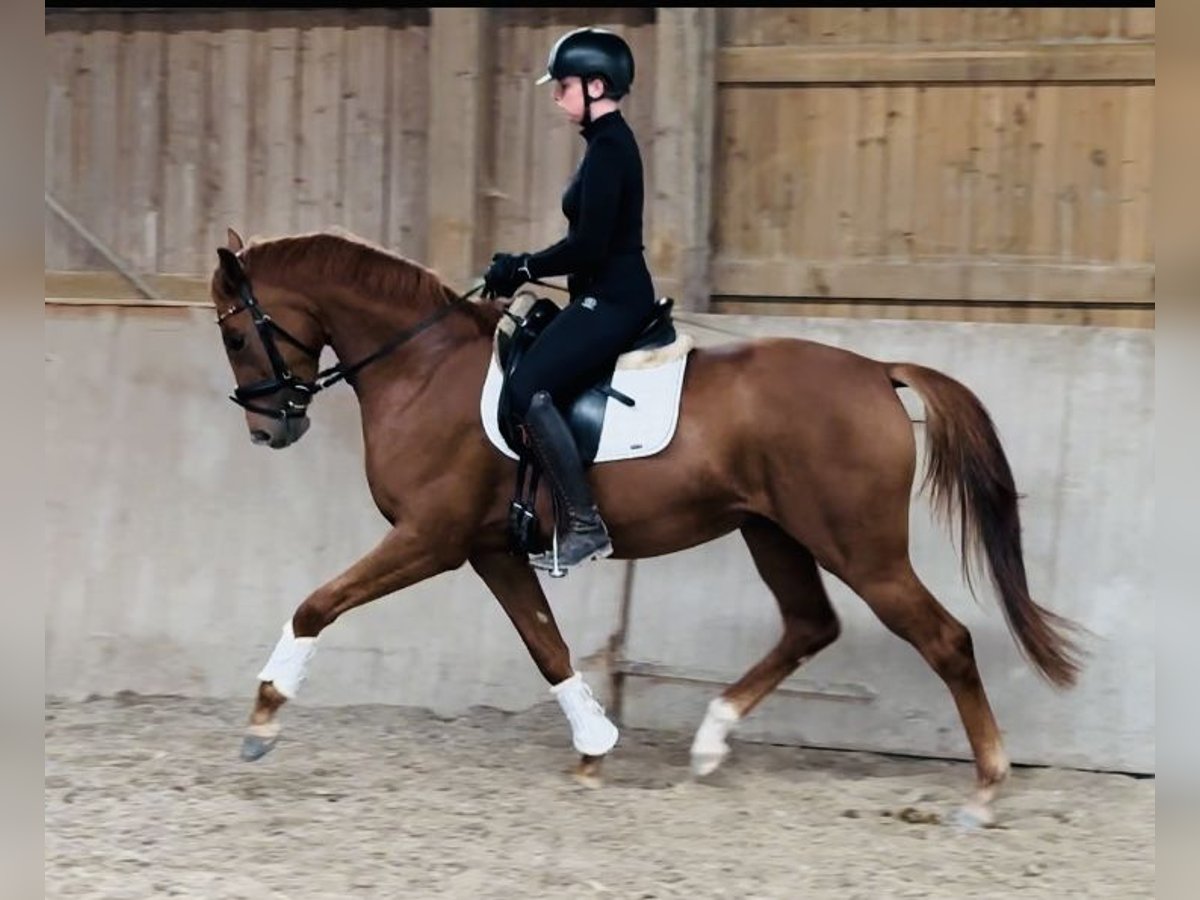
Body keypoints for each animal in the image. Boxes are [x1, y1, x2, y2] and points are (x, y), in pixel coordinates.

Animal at [211, 226, 1084, 830]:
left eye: (234, 332)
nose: (268, 429)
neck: (422, 369)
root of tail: (875, 372)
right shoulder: (491, 551)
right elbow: (548, 647)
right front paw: (595, 749)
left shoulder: (430, 539)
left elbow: (317, 604)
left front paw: (262, 718)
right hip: (773, 532)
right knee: (810, 625)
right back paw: (710, 741)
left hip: (859, 546)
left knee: (943, 639)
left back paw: (984, 791)